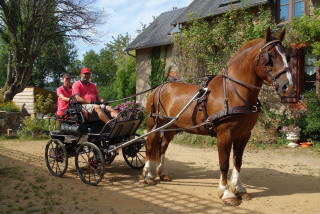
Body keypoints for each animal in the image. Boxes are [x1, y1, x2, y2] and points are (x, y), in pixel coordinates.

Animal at [142, 27, 292, 205]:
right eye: (270, 56)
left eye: (287, 55)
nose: (287, 85)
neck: (234, 91)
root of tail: (159, 88)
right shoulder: (224, 133)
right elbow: (224, 163)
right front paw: (226, 193)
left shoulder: (244, 134)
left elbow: (238, 161)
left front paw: (239, 189)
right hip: (154, 123)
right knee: (150, 145)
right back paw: (148, 175)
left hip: (171, 126)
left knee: (162, 146)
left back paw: (162, 173)